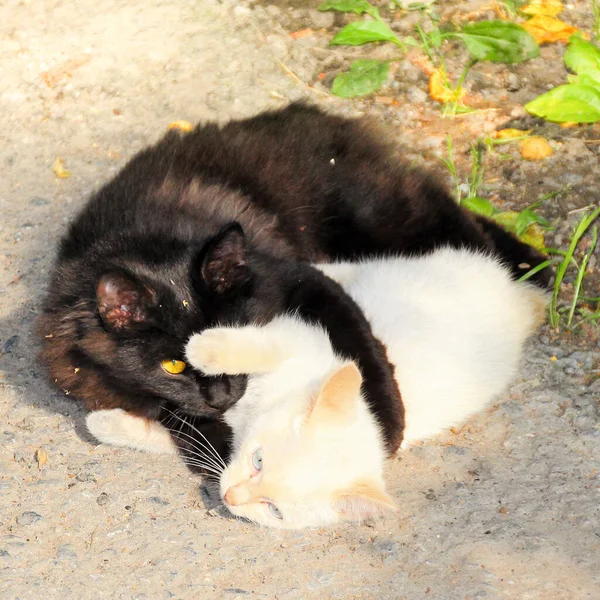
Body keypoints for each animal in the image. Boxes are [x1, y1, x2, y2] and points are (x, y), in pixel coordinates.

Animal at [38, 104, 548, 460]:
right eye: (173, 366)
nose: (223, 395)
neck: (142, 236)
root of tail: (313, 114)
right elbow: (180, 416)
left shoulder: (303, 281)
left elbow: (363, 352)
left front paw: (387, 424)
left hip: (379, 216)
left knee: (458, 221)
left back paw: (535, 265)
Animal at [86, 248, 548, 528]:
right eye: (259, 460)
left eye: (273, 509)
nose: (232, 497)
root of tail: (515, 298)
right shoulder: (299, 340)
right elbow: (262, 349)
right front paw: (208, 347)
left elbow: (190, 438)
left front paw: (109, 425)